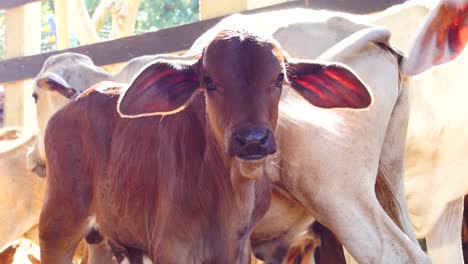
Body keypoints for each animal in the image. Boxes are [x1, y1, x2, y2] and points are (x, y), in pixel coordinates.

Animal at [38, 27, 372, 262]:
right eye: (209, 82)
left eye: (280, 78)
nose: (252, 139)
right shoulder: (171, 248)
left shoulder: (239, 250)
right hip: (57, 227)